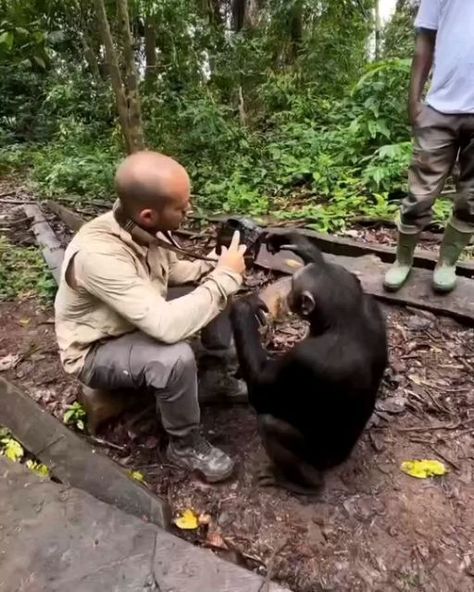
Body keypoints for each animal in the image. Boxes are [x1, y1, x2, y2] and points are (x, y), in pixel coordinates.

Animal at [231, 231, 388, 494]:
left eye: (294, 287)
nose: (288, 295)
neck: (343, 319)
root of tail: (339, 460)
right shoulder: (373, 309)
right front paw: (290, 242)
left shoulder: (302, 360)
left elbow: (262, 388)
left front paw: (243, 307)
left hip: (318, 458)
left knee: (269, 425)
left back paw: (301, 482)